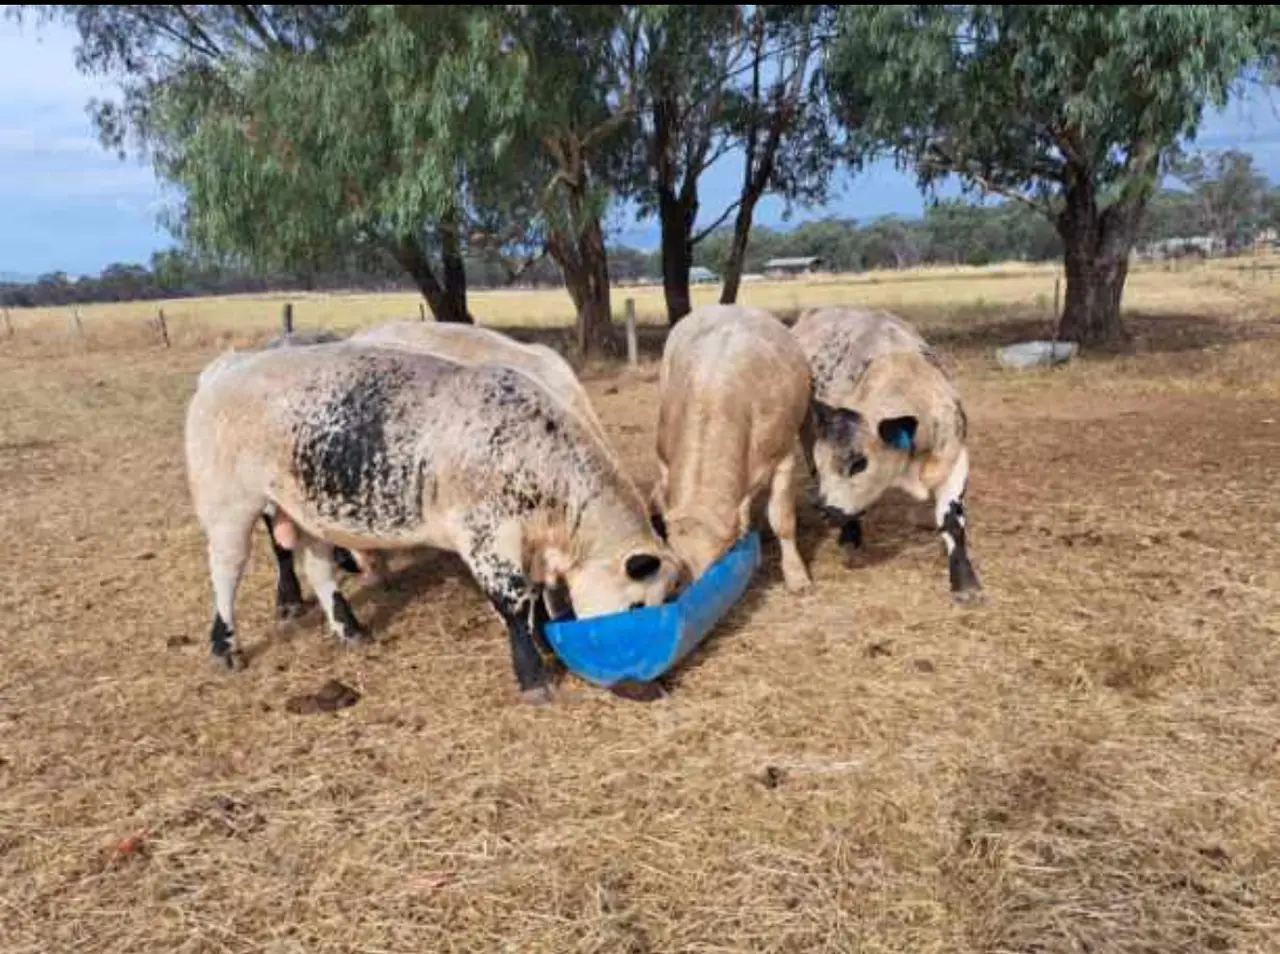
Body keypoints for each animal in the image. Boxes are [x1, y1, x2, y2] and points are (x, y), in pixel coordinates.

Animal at [184, 341, 683, 702]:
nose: (645, 679)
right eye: (637, 605)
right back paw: (225, 646)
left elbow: (538, 603)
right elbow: (514, 605)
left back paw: (351, 630)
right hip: (230, 507)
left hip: (305, 514)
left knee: (320, 570)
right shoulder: (488, 541)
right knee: (225, 573)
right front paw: (533, 677)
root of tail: (229, 364)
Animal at [651, 303, 814, 592]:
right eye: (681, 562)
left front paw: (797, 576)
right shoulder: (664, 460)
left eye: (721, 560)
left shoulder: (784, 457)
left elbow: (782, 519)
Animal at [790, 305, 983, 602]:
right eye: (825, 464)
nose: (825, 510)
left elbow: (952, 521)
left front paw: (965, 583)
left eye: (859, 463)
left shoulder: (955, 458)